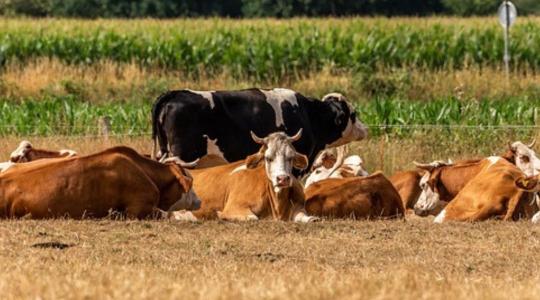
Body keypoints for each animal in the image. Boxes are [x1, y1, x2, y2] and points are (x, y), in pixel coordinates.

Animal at [152, 88, 368, 171]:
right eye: (353, 114)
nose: (366, 129)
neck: (309, 114)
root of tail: (175, 93)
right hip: (183, 153)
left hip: (165, 150)